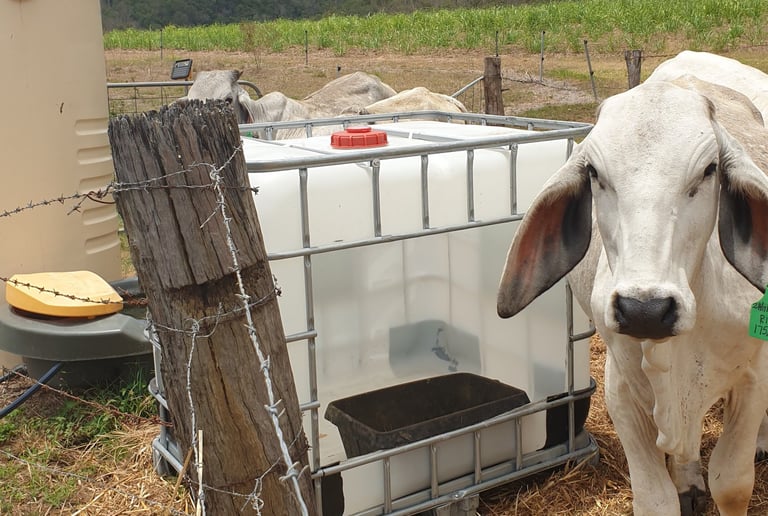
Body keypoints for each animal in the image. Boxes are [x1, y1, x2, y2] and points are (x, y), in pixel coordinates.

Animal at [496, 56, 768, 515]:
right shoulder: (621, 388)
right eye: (594, 172)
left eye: (709, 169)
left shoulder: (752, 377)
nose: (646, 310)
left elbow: (732, 482)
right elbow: (654, 498)